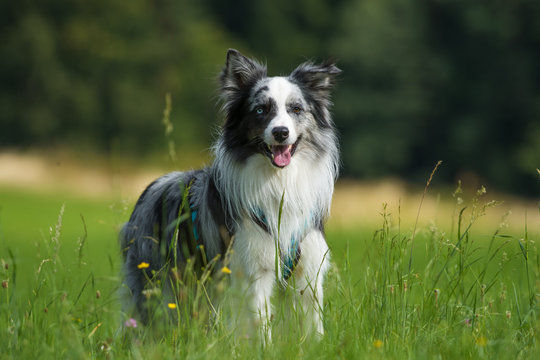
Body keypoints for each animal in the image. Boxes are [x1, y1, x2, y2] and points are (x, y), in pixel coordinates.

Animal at [120, 48, 340, 338]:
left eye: (296, 109)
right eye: (261, 110)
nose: (281, 133)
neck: (278, 181)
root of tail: (151, 187)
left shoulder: (309, 271)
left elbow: (313, 327)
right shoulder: (252, 269)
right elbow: (260, 324)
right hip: (156, 283)